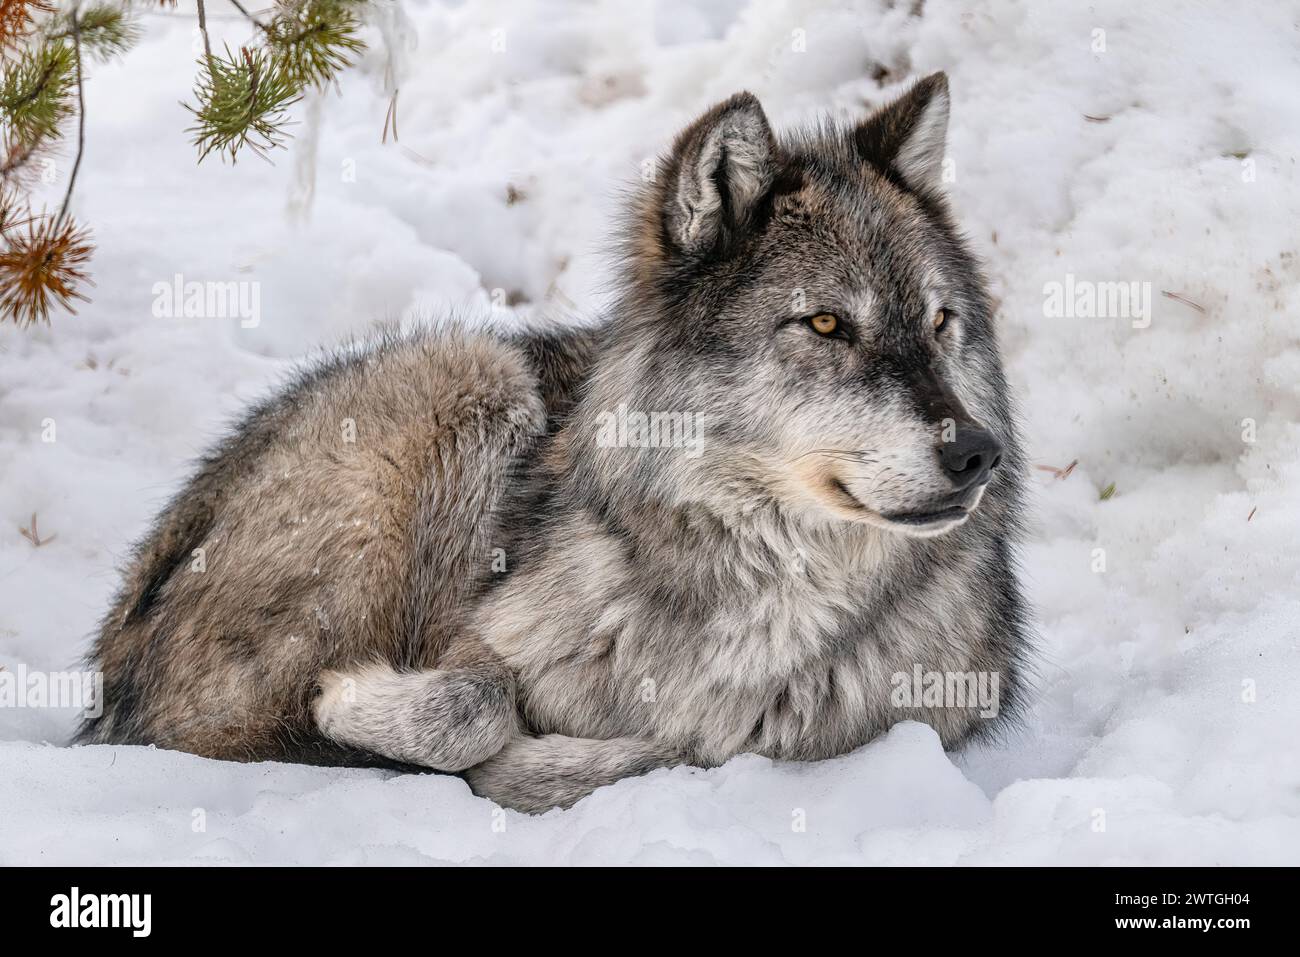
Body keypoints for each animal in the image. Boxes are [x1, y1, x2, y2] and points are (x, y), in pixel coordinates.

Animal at [76, 70, 1029, 811]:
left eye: (939, 323)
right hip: (474, 374)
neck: (761, 588)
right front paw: (358, 700)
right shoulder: (479, 635)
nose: (978, 453)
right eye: (827, 323)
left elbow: (659, 747)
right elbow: (476, 708)